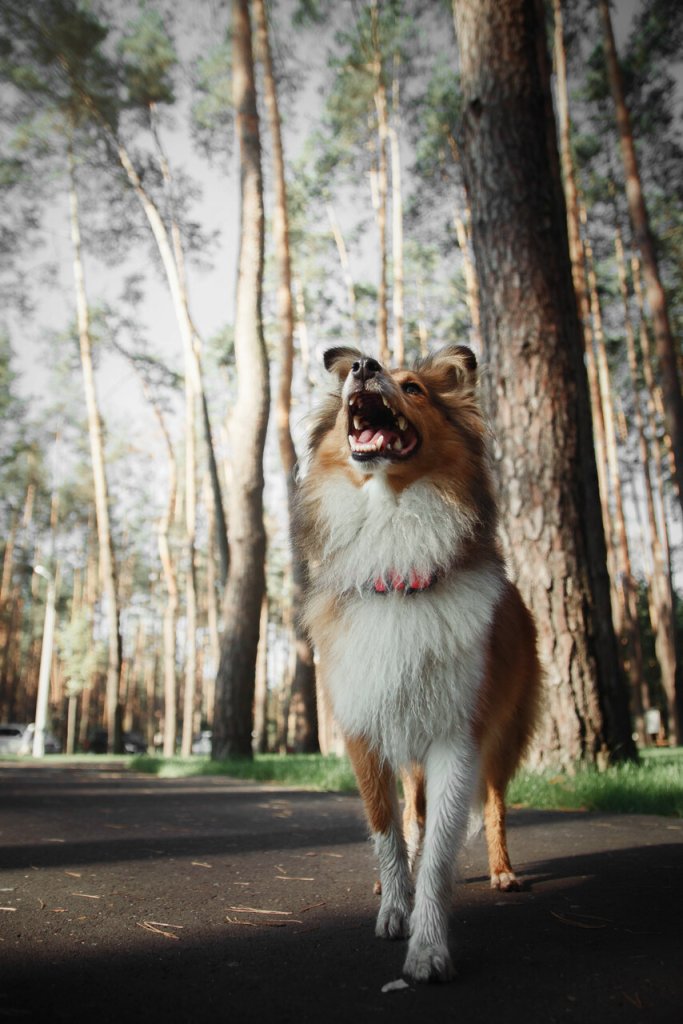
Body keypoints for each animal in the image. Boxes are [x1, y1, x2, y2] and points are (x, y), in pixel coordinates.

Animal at [296, 346, 540, 983]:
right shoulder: (364, 730)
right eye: (359, 369)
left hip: (502, 736)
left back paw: (503, 870)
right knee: (413, 814)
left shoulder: (458, 736)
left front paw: (428, 948)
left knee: (495, 805)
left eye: (414, 388)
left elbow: (439, 854)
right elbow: (387, 829)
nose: (363, 366)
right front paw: (394, 906)